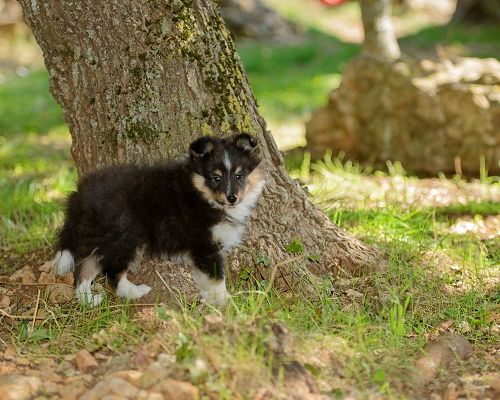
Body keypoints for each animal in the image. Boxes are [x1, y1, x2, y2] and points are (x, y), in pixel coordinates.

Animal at [51, 134, 266, 306]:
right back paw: (135, 292)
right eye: (216, 178)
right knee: (112, 271)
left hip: (102, 238)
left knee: (84, 269)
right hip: (125, 236)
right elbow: (217, 278)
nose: (232, 198)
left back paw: (87, 300)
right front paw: (227, 304)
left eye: (239, 175)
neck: (201, 195)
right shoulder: (205, 245)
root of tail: (79, 196)